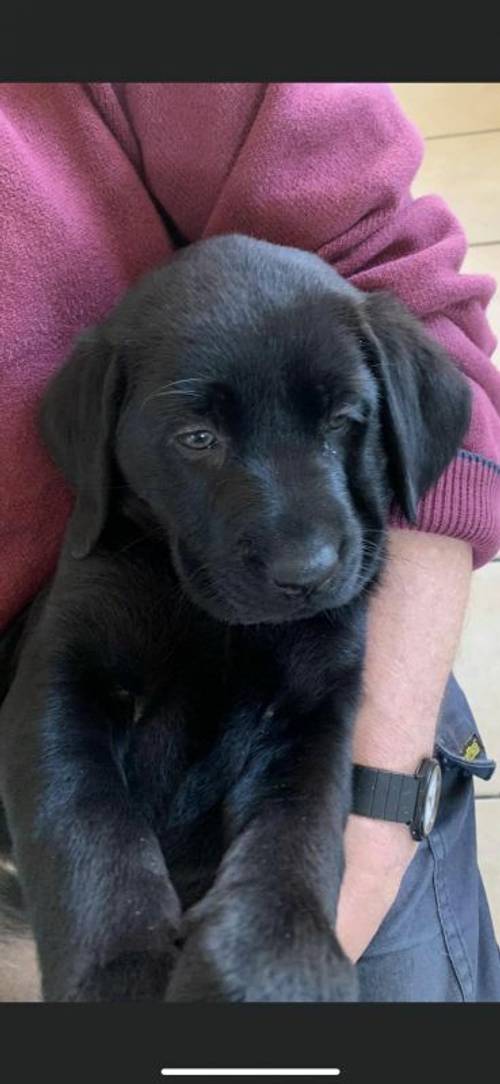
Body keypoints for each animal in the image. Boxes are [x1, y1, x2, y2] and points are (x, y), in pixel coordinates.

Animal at [0, 233, 468, 1001]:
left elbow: (298, 826)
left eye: (345, 420)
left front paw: (278, 961)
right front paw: (121, 968)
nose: (306, 572)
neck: (215, 623)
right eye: (197, 439)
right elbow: (85, 818)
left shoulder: (315, 711)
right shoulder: (59, 681)